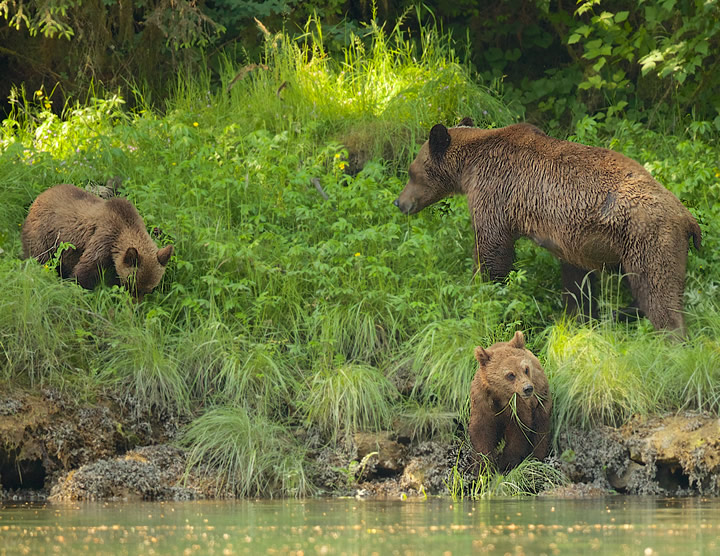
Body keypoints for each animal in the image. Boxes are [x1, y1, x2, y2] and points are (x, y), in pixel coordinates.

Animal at [21, 185, 174, 300]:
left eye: (148, 290)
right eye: (131, 285)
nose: (134, 305)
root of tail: (41, 195)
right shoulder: (103, 239)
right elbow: (84, 272)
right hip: (43, 236)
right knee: (39, 259)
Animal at [394, 120, 704, 336]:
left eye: (411, 171)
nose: (399, 202)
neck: (469, 166)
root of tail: (687, 217)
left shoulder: (494, 192)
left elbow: (492, 250)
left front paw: (483, 292)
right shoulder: (575, 242)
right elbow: (577, 284)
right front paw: (579, 317)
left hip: (647, 239)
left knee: (658, 292)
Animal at [466, 332, 552, 472]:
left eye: (526, 369)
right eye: (510, 374)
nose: (528, 388)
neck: (499, 394)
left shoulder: (517, 405)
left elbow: (518, 431)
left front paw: (506, 463)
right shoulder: (482, 401)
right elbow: (481, 431)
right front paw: (482, 465)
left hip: (541, 399)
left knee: (541, 427)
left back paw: (537, 456)